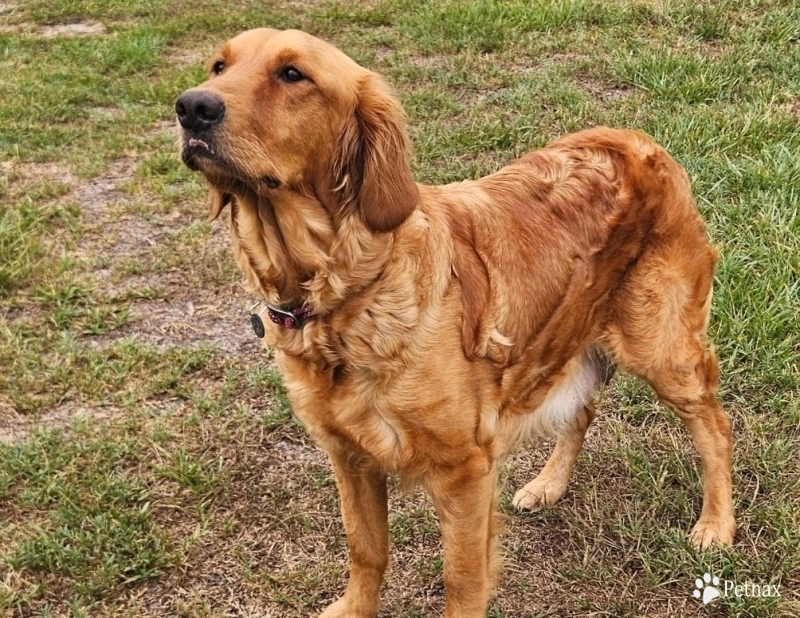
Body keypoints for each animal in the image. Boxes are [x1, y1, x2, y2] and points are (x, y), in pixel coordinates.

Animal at [177, 27, 736, 612]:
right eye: (219, 66)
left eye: (292, 74)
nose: (191, 107)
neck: (344, 293)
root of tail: (640, 140)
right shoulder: (349, 457)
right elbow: (365, 549)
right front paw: (354, 609)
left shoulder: (464, 470)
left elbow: (462, 579)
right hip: (566, 338)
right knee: (582, 409)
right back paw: (549, 484)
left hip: (662, 347)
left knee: (716, 426)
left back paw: (716, 525)